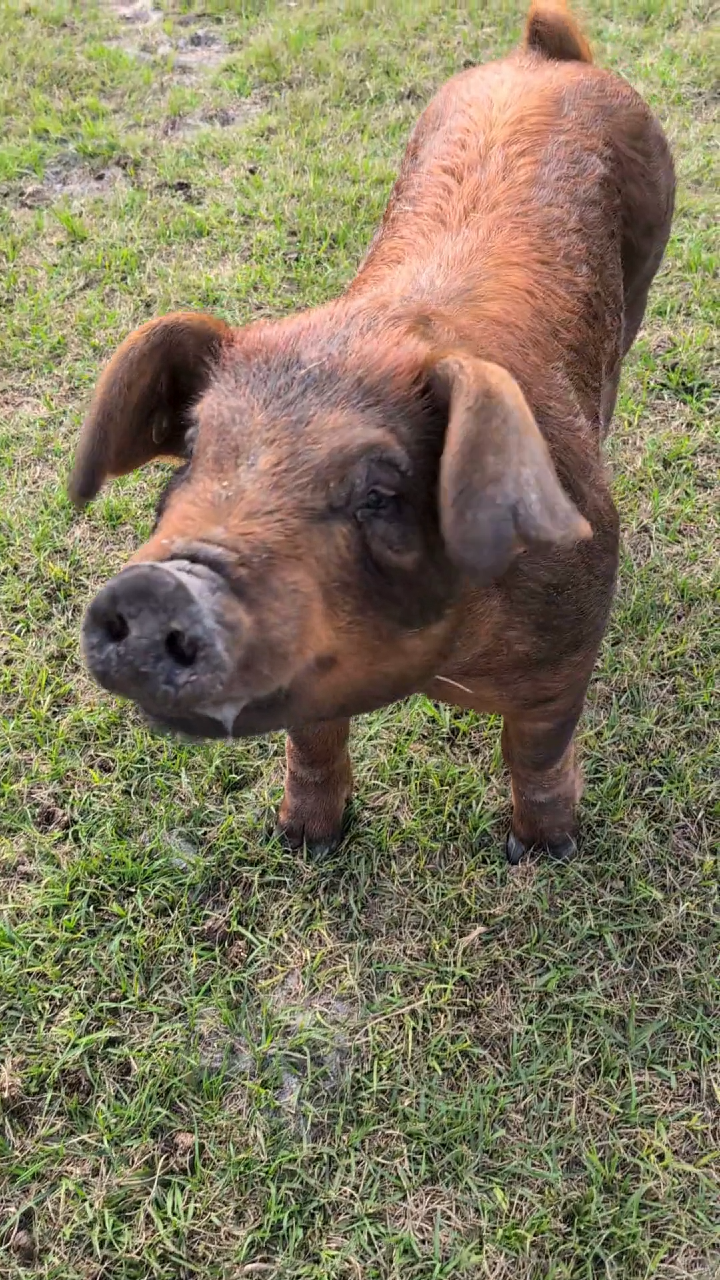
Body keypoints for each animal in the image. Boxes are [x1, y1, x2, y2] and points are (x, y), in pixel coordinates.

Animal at [69, 1, 675, 864]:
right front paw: (304, 841)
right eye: (190, 453)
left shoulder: (568, 647)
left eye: (380, 490)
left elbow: (534, 752)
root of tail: (542, 55)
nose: (160, 585)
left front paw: (543, 850)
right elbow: (315, 741)